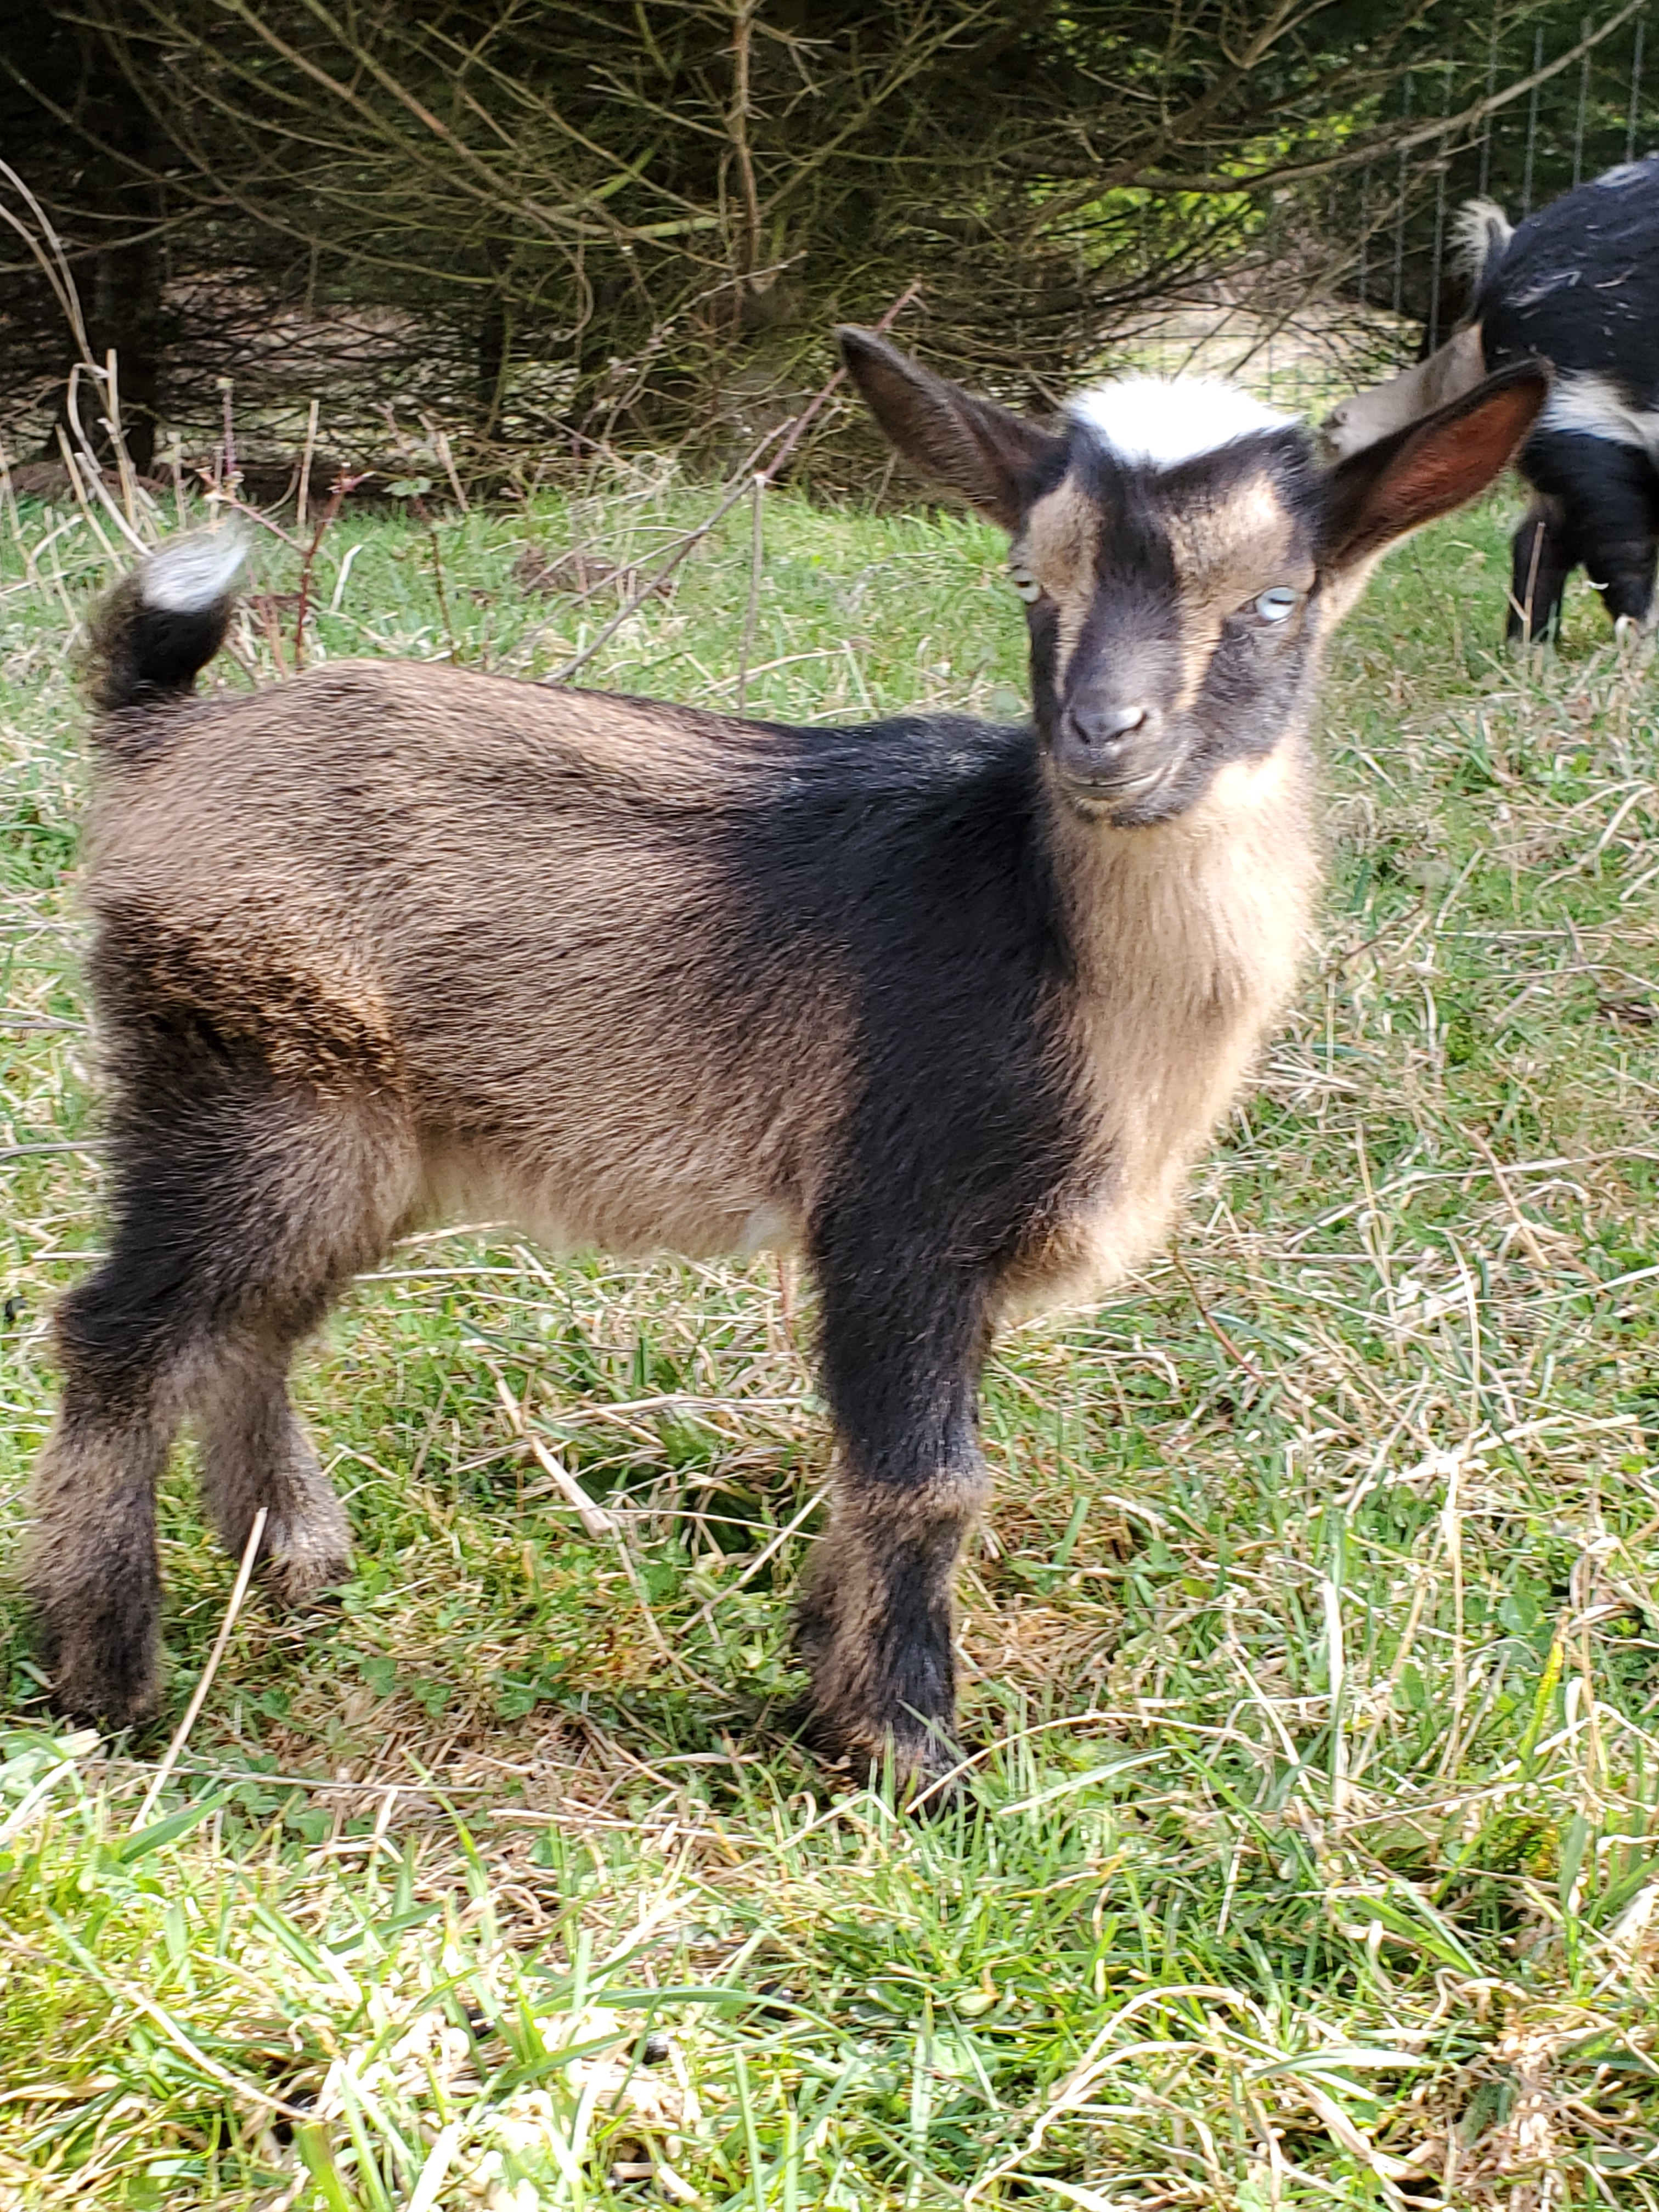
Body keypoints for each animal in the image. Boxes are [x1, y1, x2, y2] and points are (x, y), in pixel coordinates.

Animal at [26, 332, 1546, 1786]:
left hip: (358, 1136)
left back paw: (295, 1572)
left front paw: (827, 1679)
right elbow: (926, 1481)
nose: (1102, 739)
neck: (1055, 935)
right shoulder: (896, 1211)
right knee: (125, 1331)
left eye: (1280, 598)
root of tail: (161, 738)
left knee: (256, 1327)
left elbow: (891, 1469)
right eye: (1028, 580)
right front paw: (912, 1756)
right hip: (246, 1079)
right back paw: (109, 1678)